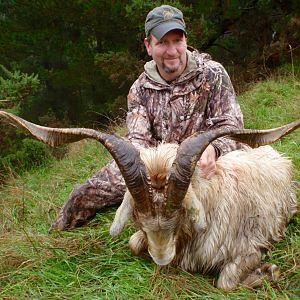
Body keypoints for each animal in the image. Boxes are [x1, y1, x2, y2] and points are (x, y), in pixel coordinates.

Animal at [0, 110, 298, 290]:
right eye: (139, 222)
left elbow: (225, 282)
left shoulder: (250, 246)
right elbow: (133, 244)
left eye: (179, 217)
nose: (163, 259)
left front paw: (269, 272)